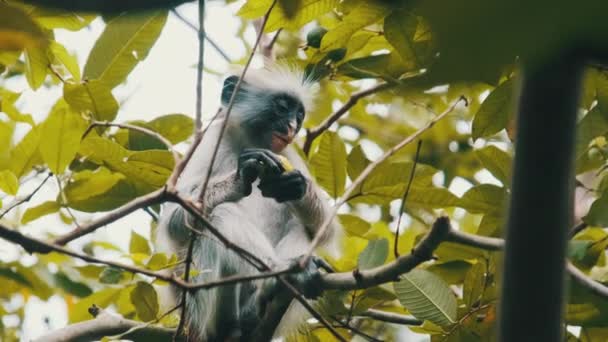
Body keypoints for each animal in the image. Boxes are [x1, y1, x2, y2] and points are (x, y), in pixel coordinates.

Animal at [154, 65, 342, 342]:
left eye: (299, 115)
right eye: (282, 107)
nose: (292, 126)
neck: (252, 141)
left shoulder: (285, 154)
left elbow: (327, 230)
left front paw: (295, 186)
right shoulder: (214, 139)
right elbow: (173, 222)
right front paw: (240, 178)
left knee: (301, 227)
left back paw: (278, 286)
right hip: (198, 303)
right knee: (221, 214)